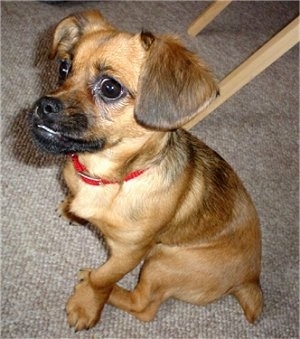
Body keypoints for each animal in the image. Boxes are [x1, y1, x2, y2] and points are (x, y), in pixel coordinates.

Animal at [29, 9, 262, 332]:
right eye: (64, 68)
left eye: (110, 88)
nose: (43, 105)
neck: (111, 179)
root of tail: (252, 278)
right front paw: (71, 210)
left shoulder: (129, 253)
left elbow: (103, 279)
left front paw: (87, 304)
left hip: (163, 261)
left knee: (143, 306)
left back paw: (100, 287)